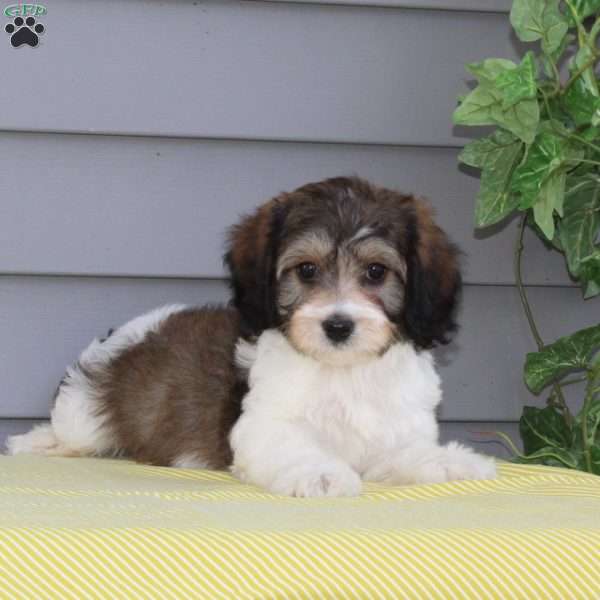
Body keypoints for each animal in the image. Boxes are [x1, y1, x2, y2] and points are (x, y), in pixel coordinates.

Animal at [8, 176, 496, 494]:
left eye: (376, 272)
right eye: (306, 270)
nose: (338, 325)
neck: (344, 372)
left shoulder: (397, 426)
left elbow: (406, 452)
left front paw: (450, 461)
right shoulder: (262, 425)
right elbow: (293, 446)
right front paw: (320, 473)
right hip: (83, 412)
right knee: (72, 434)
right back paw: (38, 442)